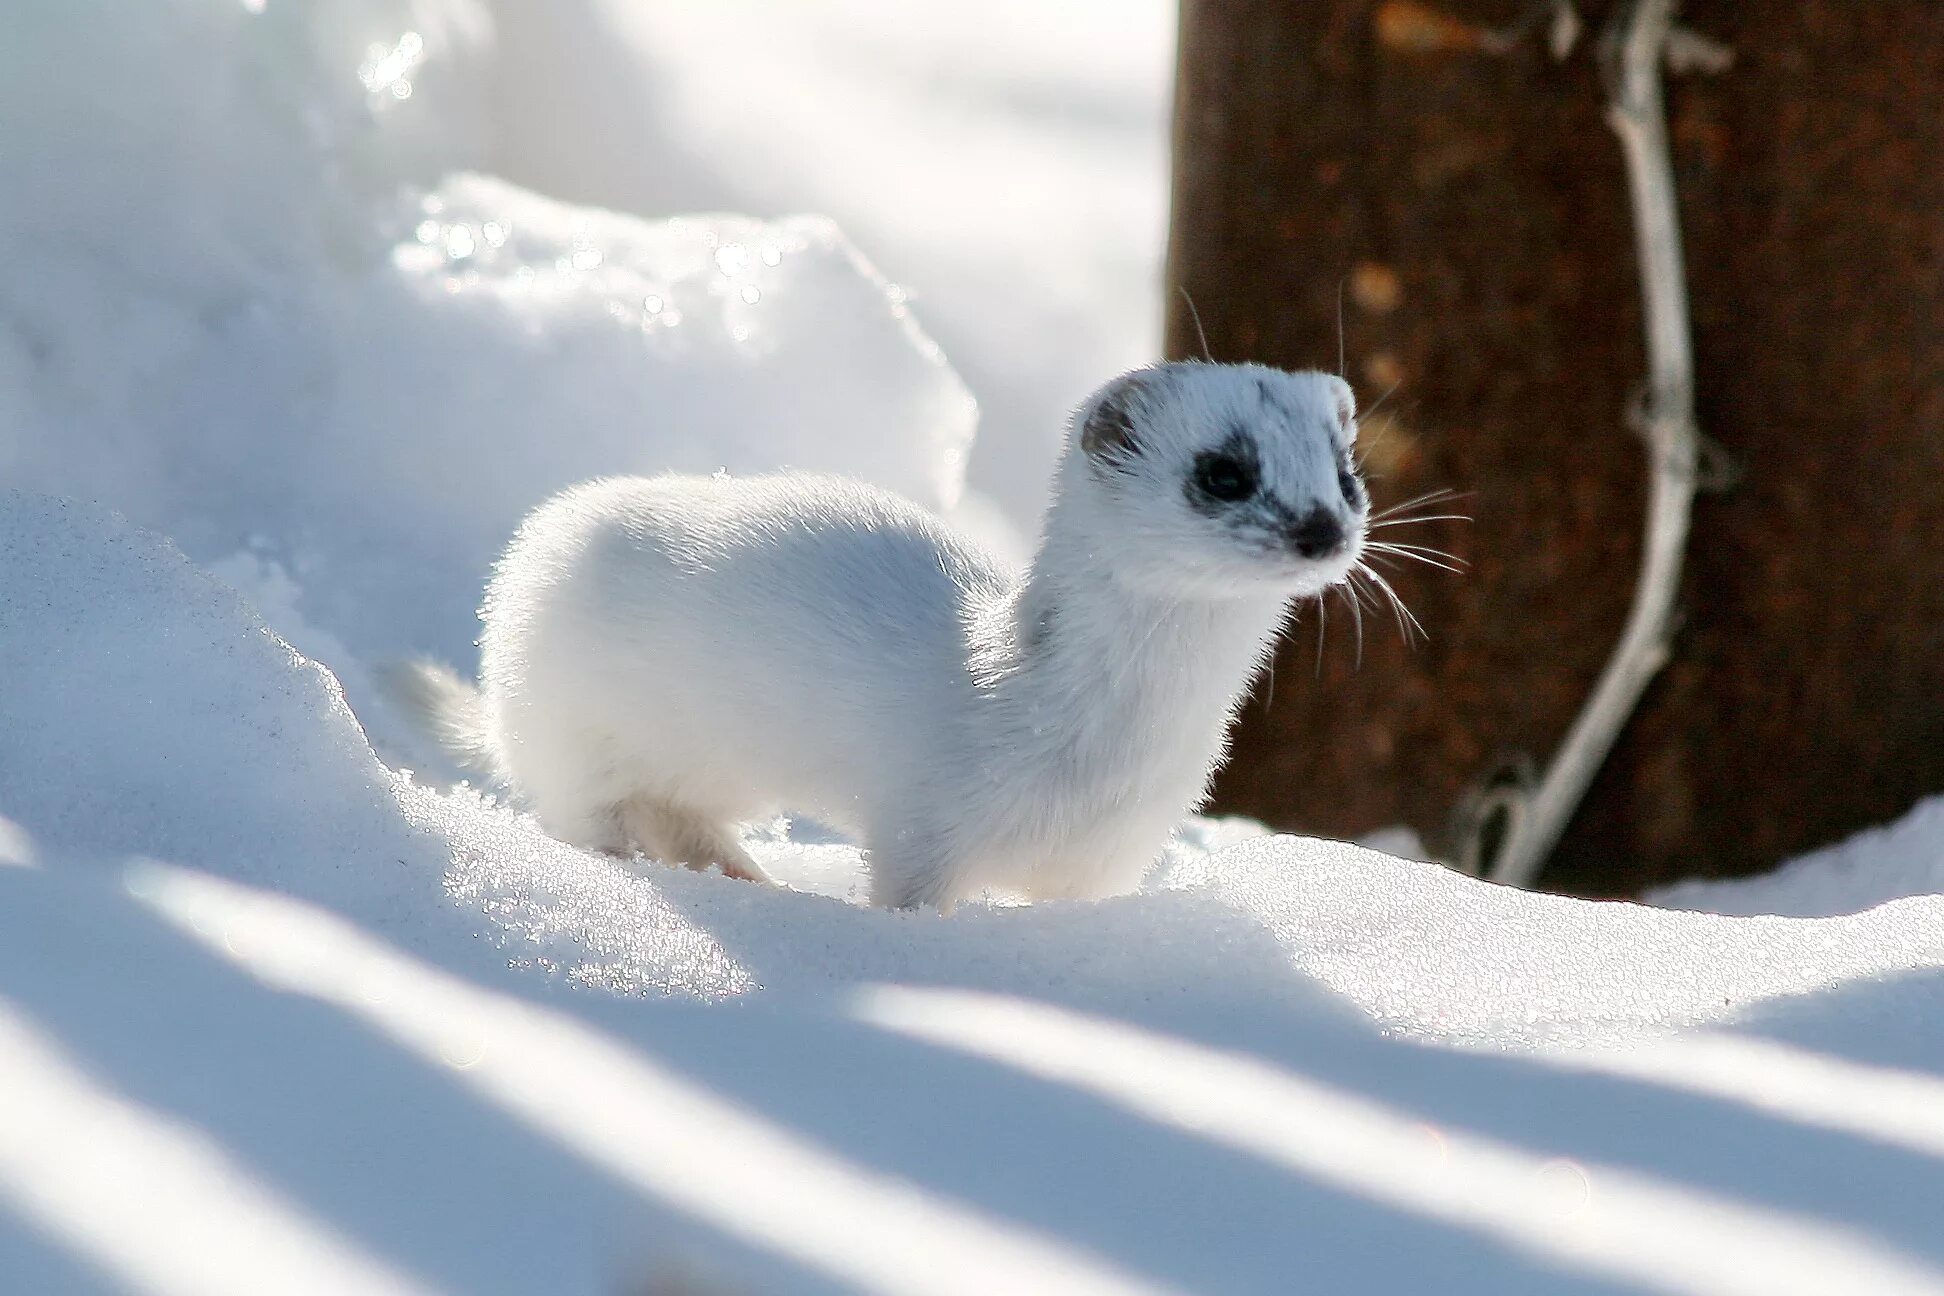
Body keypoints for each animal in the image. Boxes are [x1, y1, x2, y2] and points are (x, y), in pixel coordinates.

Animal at [386, 359, 1368, 909]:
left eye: (1347, 474)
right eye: (1224, 471)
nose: (1323, 528)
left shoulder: (1113, 859)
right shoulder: (926, 816)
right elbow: (906, 894)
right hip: (569, 722)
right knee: (591, 811)